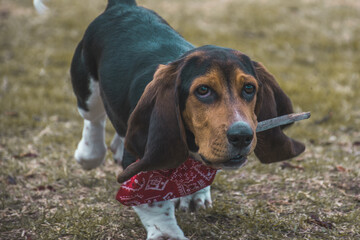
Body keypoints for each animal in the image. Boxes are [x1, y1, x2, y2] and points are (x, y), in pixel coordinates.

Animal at [62, 0, 306, 238]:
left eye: (249, 88)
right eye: (203, 90)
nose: (242, 136)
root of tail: (124, 6)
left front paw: (194, 193)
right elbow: (154, 204)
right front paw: (168, 233)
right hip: (87, 89)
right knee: (94, 120)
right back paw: (89, 154)